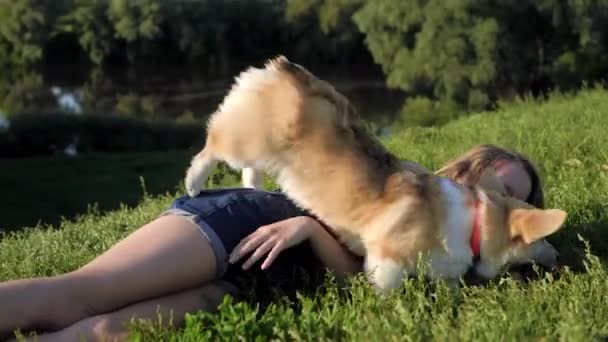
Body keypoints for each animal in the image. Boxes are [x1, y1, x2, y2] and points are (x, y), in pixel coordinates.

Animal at [184, 56, 564, 292]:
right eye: (544, 238)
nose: (559, 257)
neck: (474, 223)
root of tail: (287, 70)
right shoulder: (386, 262)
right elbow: (387, 288)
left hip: (266, 151)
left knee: (251, 169)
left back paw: (255, 188)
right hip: (244, 139)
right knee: (211, 146)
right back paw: (194, 183)